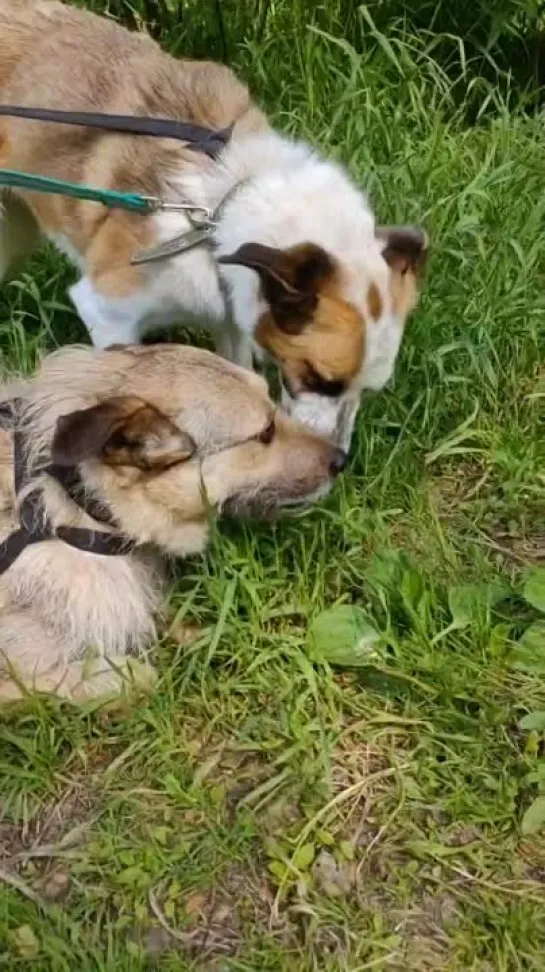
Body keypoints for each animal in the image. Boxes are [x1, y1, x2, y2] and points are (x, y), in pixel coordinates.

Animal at [0, 0, 430, 448]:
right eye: (318, 378)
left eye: (368, 388)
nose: (339, 459)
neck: (218, 211)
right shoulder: (107, 313)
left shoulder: (232, 320)